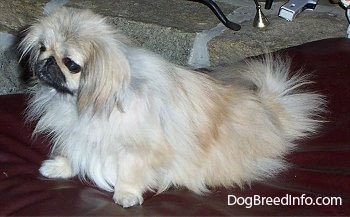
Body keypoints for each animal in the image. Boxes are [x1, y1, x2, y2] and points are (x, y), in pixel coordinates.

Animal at [18, 7, 326, 207]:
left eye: (71, 64)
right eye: (43, 48)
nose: (47, 62)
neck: (87, 102)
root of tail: (269, 111)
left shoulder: (138, 149)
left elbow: (129, 171)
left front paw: (126, 194)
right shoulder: (76, 134)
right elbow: (72, 152)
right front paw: (60, 167)